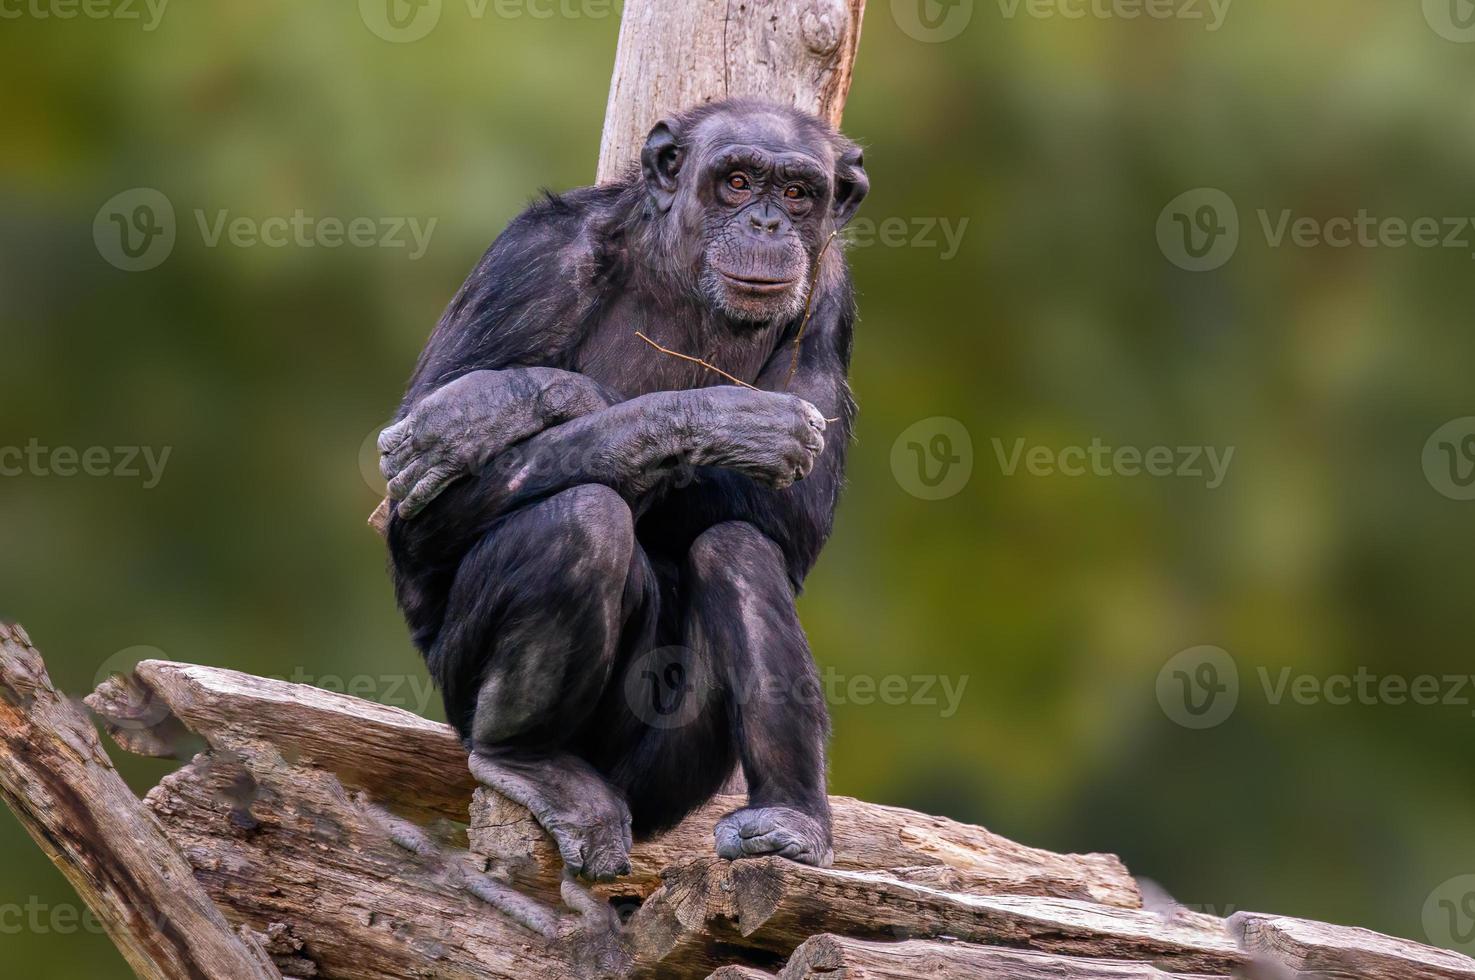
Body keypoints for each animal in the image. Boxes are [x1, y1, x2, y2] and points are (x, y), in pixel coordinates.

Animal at [377, 99, 861, 879]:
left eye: (796, 193)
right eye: (736, 180)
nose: (766, 224)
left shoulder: (830, 302)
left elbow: (790, 524)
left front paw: (503, 404)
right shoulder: (532, 262)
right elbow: (416, 517)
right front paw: (506, 403)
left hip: (668, 780)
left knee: (737, 549)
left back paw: (790, 817)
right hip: (461, 692)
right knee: (581, 519)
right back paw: (528, 760)